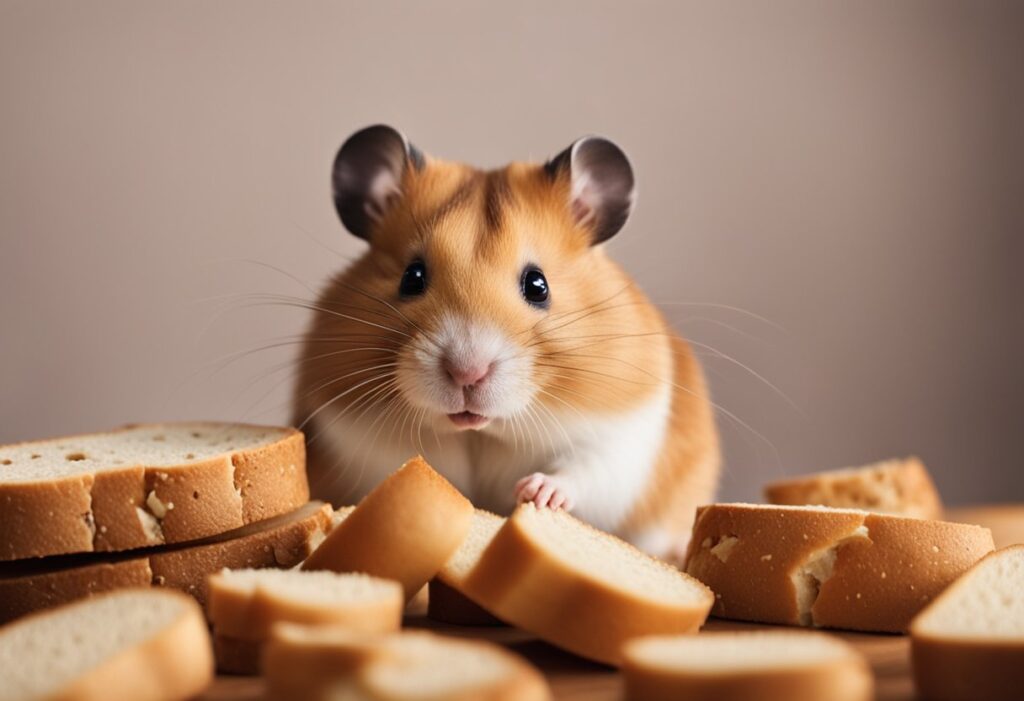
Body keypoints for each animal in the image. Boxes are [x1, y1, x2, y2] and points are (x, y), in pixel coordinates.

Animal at [292, 124, 720, 560]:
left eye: (538, 285)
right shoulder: (353, 434)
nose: (467, 372)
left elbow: (582, 470)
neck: (482, 432)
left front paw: (535, 491)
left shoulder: (621, 436)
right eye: (412, 277)